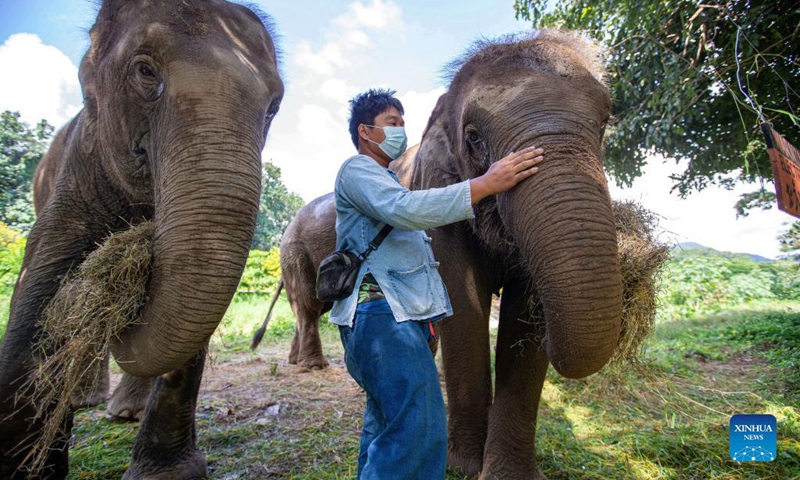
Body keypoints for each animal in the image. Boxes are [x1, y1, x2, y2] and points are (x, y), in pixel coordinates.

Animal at [0, 0, 283, 478]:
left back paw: (121, 411)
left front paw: (170, 474)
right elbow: (38, 286)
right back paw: (89, 400)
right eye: (145, 72)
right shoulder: (78, 173)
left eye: (274, 106)